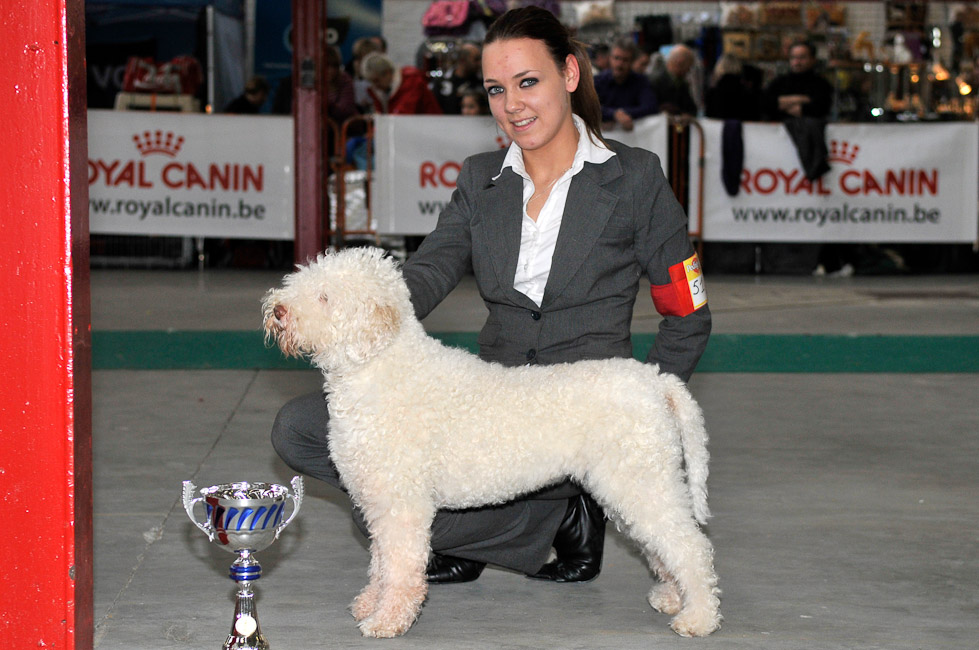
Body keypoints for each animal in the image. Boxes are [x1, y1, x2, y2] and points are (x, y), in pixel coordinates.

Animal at [264, 248, 724, 636]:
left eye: (325, 296)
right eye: (304, 279)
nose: (279, 310)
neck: (382, 367)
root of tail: (657, 381)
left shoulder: (402, 504)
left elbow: (399, 567)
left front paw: (387, 621)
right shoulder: (380, 501)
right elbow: (380, 563)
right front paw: (369, 604)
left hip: (641, 481)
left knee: (691, 547)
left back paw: (698, 618)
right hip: (633, 485)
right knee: (666, 548)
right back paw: (672, 598)